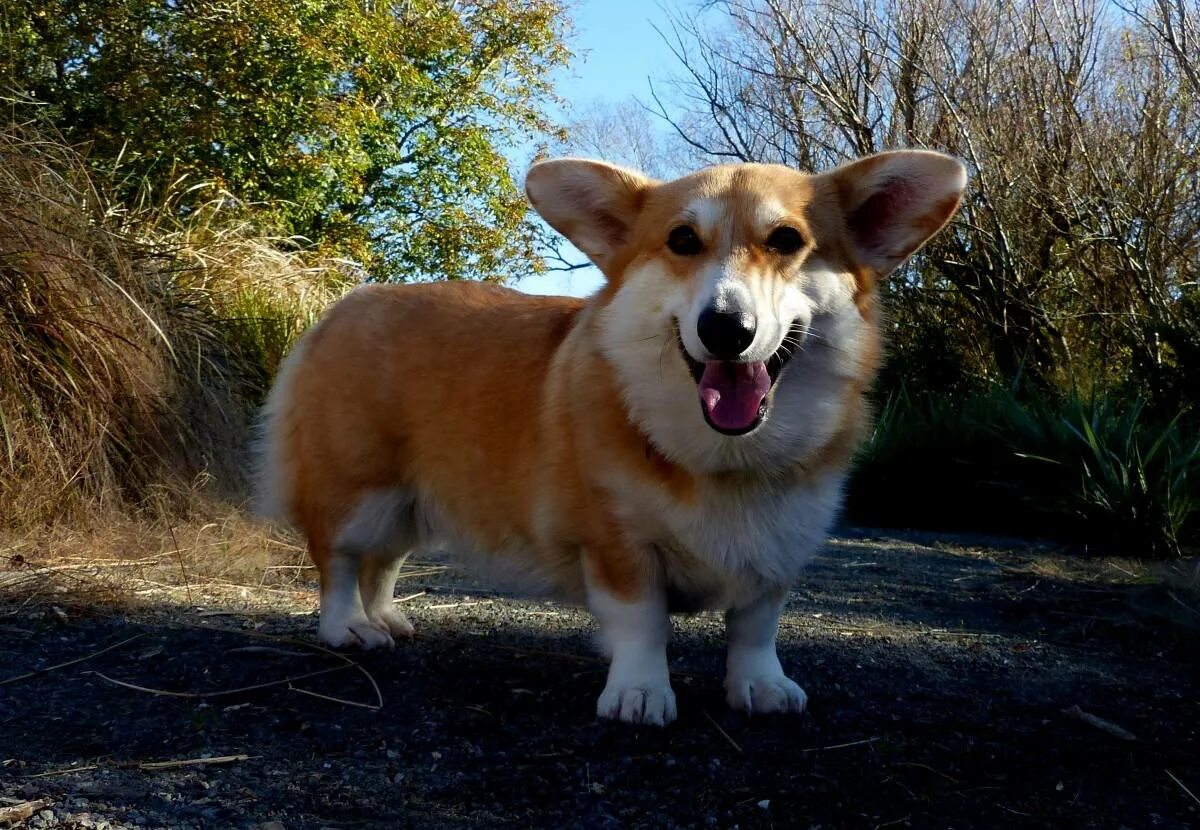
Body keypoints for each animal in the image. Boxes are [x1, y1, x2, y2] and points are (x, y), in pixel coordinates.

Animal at [255, 150, 964, 724]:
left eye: (787, 239)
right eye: (682, 240)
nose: (724, 328)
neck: (724, 458)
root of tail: (344, 304)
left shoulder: (777, 544)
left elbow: (756, 626)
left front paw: (762, 686)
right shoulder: (618, 542)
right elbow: (642, 623)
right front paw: (640, 695)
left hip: (410, 503)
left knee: (383, 563)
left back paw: (383, 617)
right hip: (359, 490)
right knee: (339, 561)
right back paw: (348, 628)